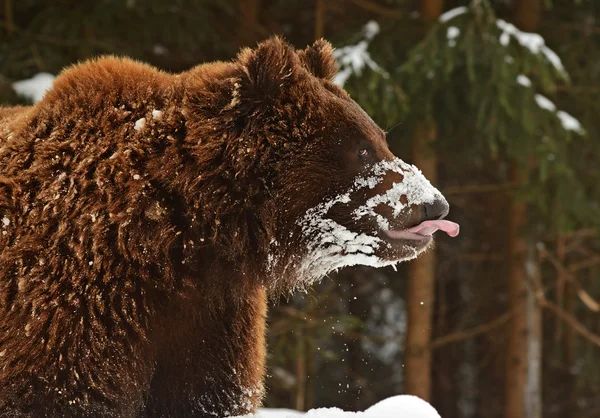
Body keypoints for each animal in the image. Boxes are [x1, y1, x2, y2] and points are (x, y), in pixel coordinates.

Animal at [0, 36, 460, 418]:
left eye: (381, 137)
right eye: (362, 149)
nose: (435, 203)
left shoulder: (212, 317)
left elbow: (205, 395)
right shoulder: (79, 300)